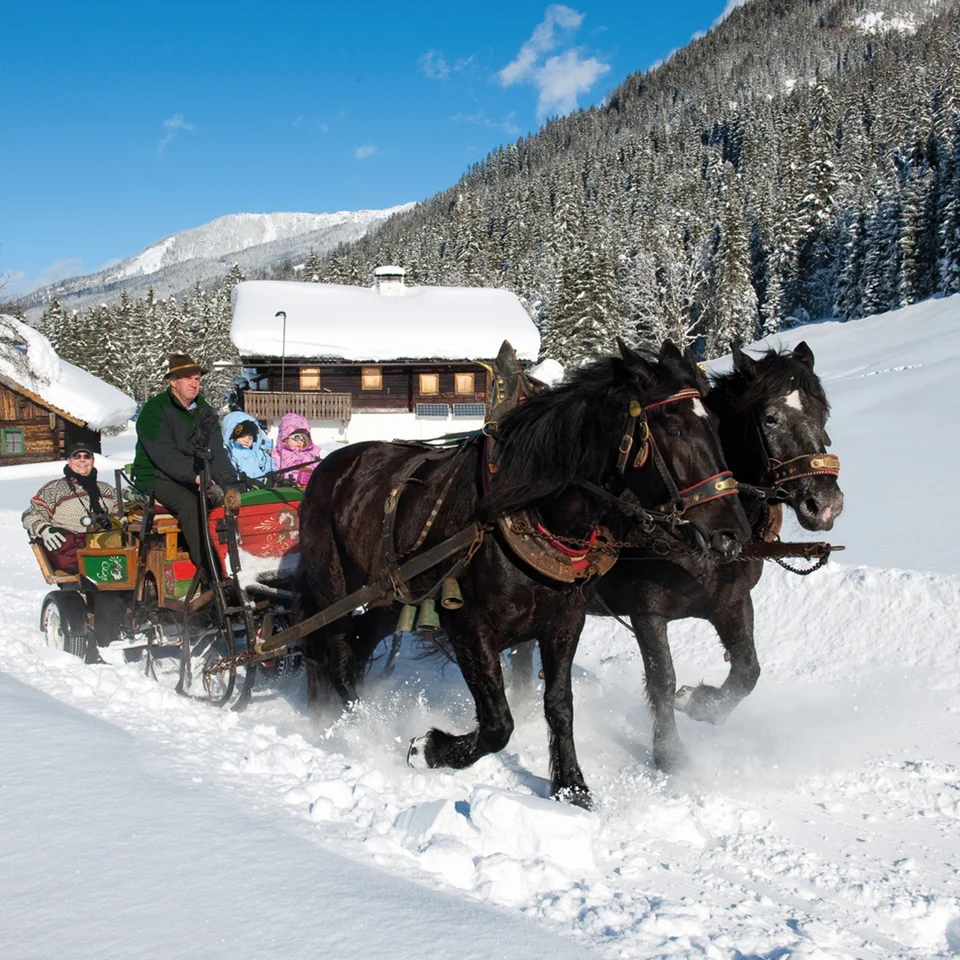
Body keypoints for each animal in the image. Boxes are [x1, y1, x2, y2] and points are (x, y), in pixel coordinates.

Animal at [296, 340, 750, 806]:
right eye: (673, 428)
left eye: (717, 424)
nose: (732, 534)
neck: (528, 510)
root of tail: (330, 466)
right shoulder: (468, 627)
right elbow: (498, 724)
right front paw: (429, 749)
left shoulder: (564, 623)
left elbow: (559, 705)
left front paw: (571, 786)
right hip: (334, 590)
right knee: (335, 655)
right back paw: (358, 729)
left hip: (388, 599)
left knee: (356, 648)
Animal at [588, 341, 844, 772]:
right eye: (770, 418)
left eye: (823, 413)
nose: (825, 506)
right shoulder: (646, 609)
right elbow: (662, 678)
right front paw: (670, 756)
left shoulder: (731, 600)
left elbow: (747, 670)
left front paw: (700, 703)